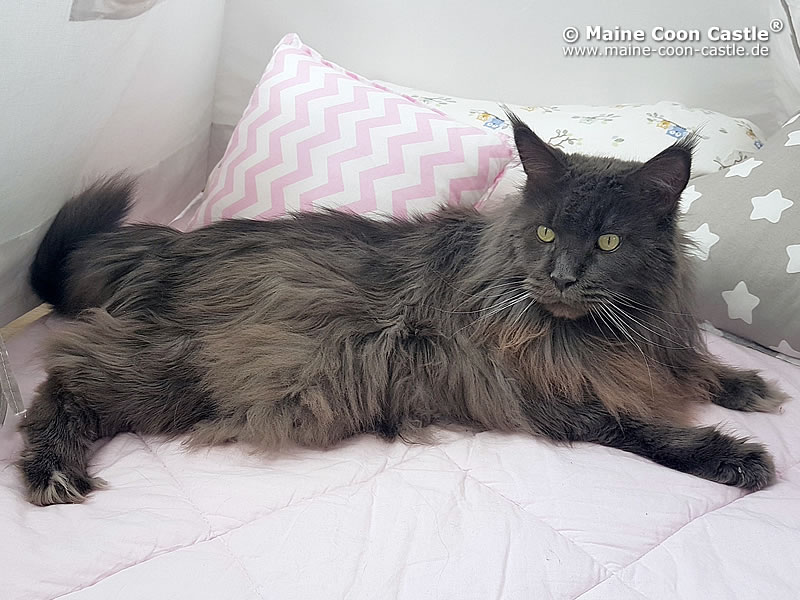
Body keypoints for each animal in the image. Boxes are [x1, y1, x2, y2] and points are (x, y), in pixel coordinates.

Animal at [18, 112, 787, 506]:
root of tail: (168, 243)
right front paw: (732, 455)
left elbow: (695, 367)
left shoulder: (658, 345)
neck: (598, 334)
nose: (563, 277)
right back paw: (51, 472)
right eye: (545, 234)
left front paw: (748, 385)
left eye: (607, 241)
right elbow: (644, 428)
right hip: (180, 367)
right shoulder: (552, 399)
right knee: (64, 381)